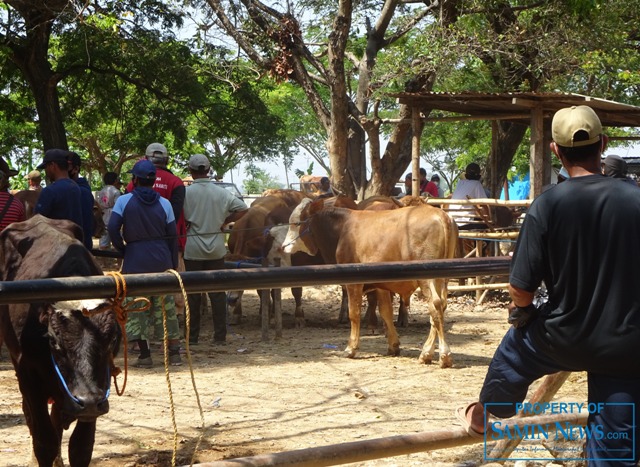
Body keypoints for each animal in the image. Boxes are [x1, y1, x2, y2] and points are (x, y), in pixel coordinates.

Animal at [0, 216, 120, 467]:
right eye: (55, 343)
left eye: (112, 339)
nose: (88, 400)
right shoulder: (28, 375)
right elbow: (44, 442)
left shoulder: (97, 389)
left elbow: (81, 447)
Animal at [282, 196, 458, 368]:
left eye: (296, 222)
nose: (283, 246)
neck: (342, 228)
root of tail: (441, 215)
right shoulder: (381, 285)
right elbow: (386, 312)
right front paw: (393, 346)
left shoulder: (353, 283)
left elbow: (354, 313)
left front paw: (351, 348)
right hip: (443, 279)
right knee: (441, 306)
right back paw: (427, 353)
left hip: (427, 278)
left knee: (435, 306)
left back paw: (441, 355)